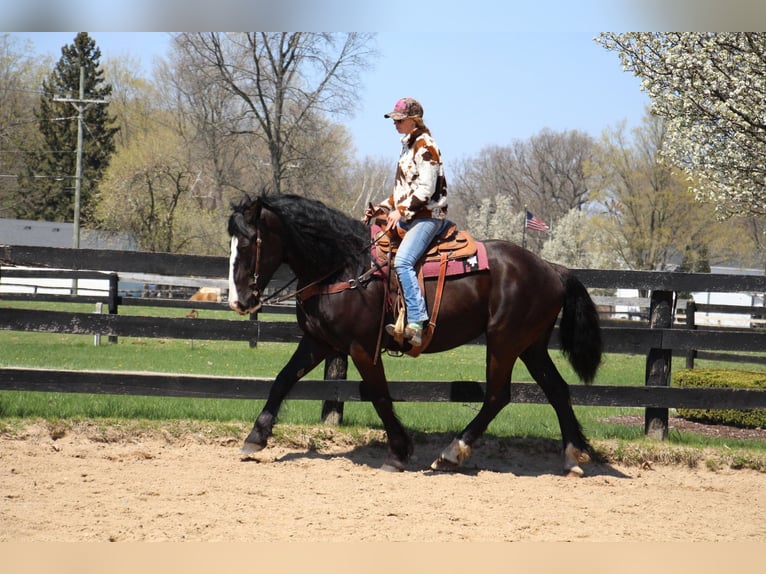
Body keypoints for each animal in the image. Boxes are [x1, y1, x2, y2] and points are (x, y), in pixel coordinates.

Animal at [230, 194, 608, 476]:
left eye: (249, 243)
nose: (239, 301)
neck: (344, 266)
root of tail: (553, 269)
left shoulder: (362, 348)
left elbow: (380, 395)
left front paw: (398, 453)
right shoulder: (318, 342)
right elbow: (282, 380)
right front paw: (255, 437)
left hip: (504, 342)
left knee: (498, 396)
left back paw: (453, 452)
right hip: (531, 346)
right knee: (557, 390)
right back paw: (573, 456)